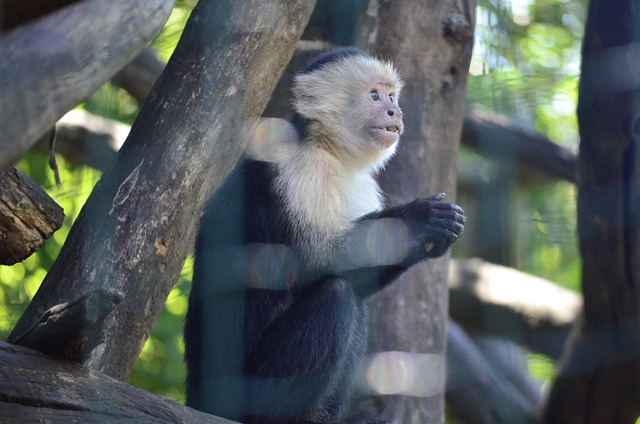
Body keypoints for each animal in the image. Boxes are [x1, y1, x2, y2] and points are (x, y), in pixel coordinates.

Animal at [185, 48, 465, 424]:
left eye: (391, 97)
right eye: (374, 96)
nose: (395, 111)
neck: (331, 152)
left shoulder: (365, 187)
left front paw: (428, 239)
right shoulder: (300, 172)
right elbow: (310, 262)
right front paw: (420, 221)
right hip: (239, 391)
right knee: (337, 295)